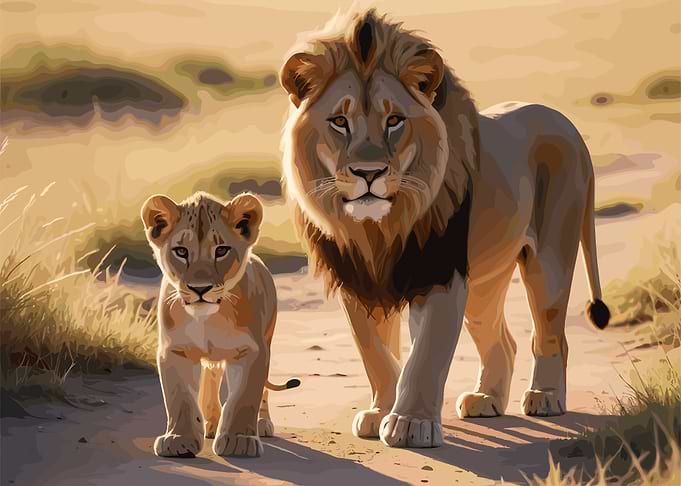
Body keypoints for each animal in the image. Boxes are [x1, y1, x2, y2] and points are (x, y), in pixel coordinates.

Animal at [142, 191, 300, 458]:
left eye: (222, 250)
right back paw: (210, 423)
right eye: (181, 251)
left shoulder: (253, 350)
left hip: (268, 337)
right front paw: (179, 439)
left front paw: (239, 440)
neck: (206, 318)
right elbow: (180, 398)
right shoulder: (174, 350)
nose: (200, 288)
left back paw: (261, 424)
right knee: (211, 378)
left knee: (262, 390)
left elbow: (244, 397)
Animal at [279, 9, 611, 448]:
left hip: (550, 261)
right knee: (503, 339)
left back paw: (545, 397)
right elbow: (376, 355)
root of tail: (565, 122)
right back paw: (487, 399)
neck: (377, 230)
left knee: (550, 332)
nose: (369, 173)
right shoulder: (357, 281)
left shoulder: (439, 272)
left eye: (394, 120)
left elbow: (426, 355)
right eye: (339, 121)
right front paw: (381, 411)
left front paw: (410, 424)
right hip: (485, 283)